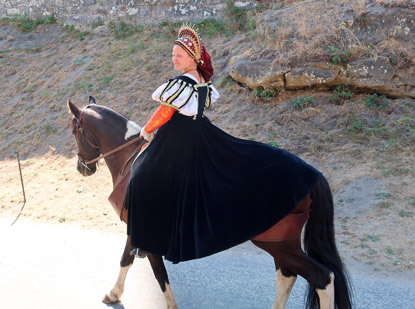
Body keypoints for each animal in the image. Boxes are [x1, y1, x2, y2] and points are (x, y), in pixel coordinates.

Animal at [67, 97, 352, 308]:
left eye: (75, 132)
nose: (82, 168)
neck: (129, 159)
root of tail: (310, 173)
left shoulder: (143, 232)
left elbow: (154, 272)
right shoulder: (136, 231)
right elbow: (128, 259)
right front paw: (114, 294)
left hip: (277, 242)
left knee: (321, 277)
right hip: (281, 241)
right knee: (288, 275)